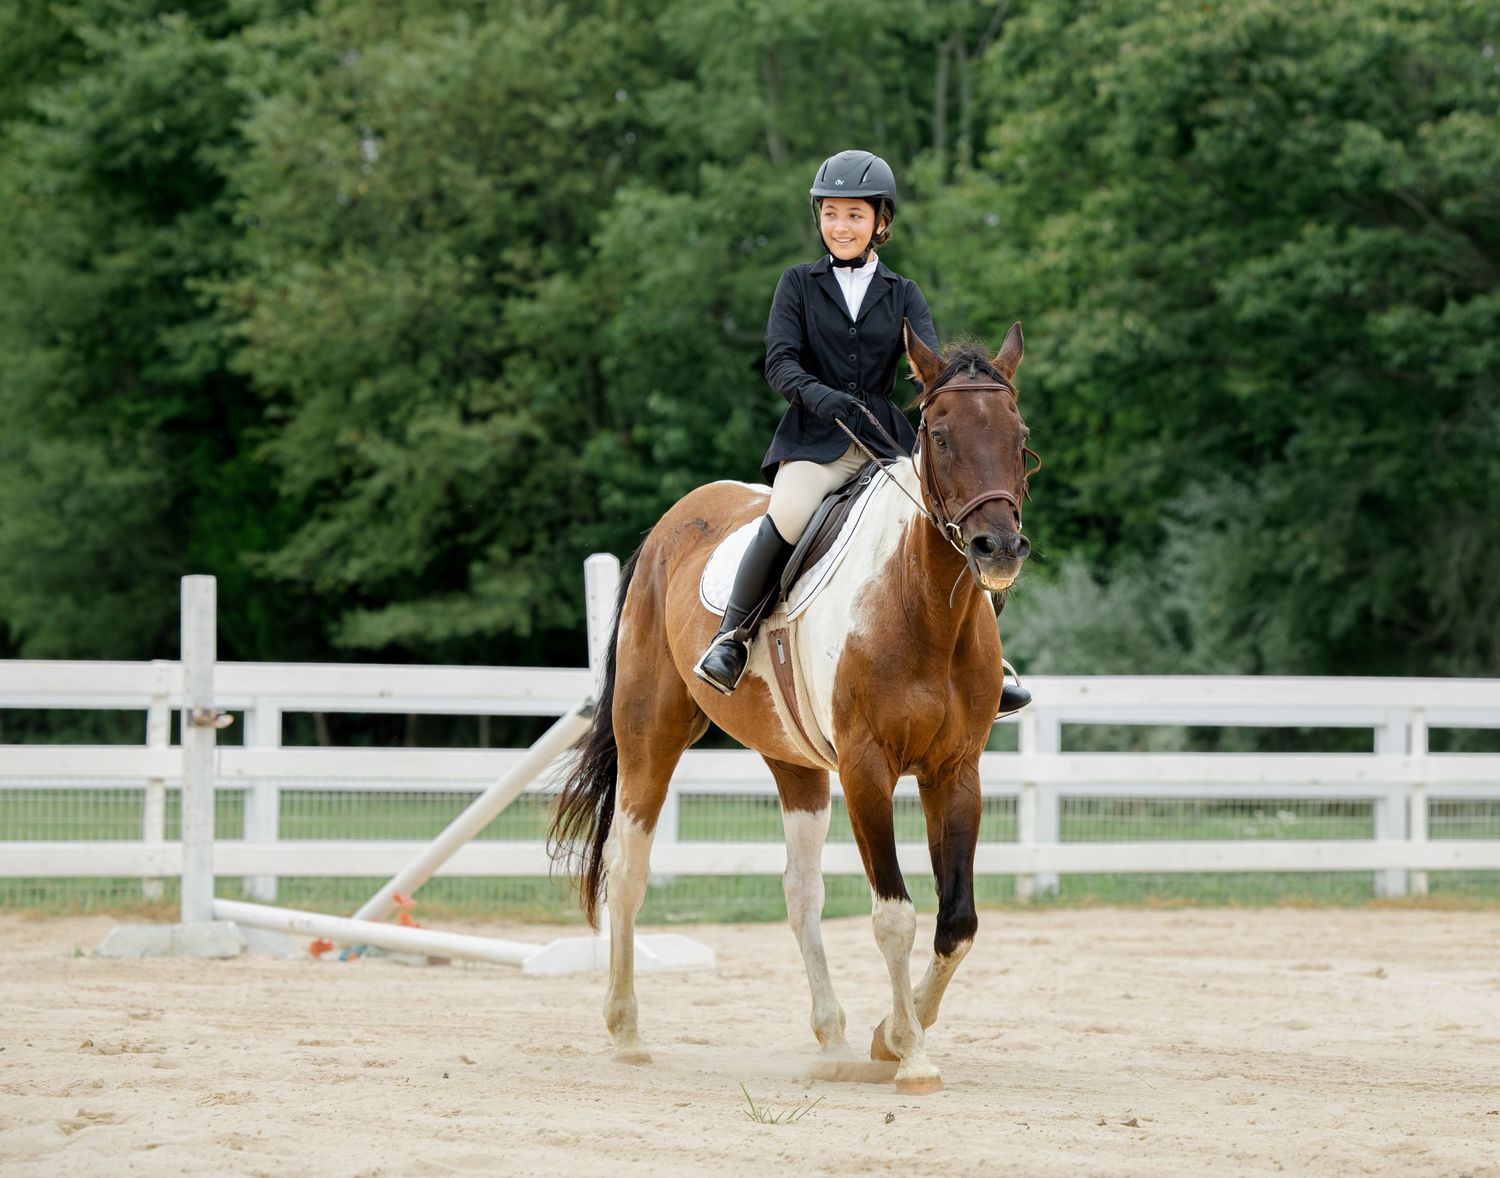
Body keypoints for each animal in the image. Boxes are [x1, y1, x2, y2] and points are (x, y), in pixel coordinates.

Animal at [550, 322, 1034, 1094]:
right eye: (939, 434)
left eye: (1019, 436)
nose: (998, 548)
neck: (922, 604)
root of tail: (669, 524)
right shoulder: (867, 770)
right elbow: (894, 916)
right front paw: (911, 1054)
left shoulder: (956, 771)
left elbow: (957, 921)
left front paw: (887, 1036)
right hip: (650, 736)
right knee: (628, 871)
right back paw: (626, 1033)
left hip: (795, 763)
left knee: (800, 892)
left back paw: (832, 1038)